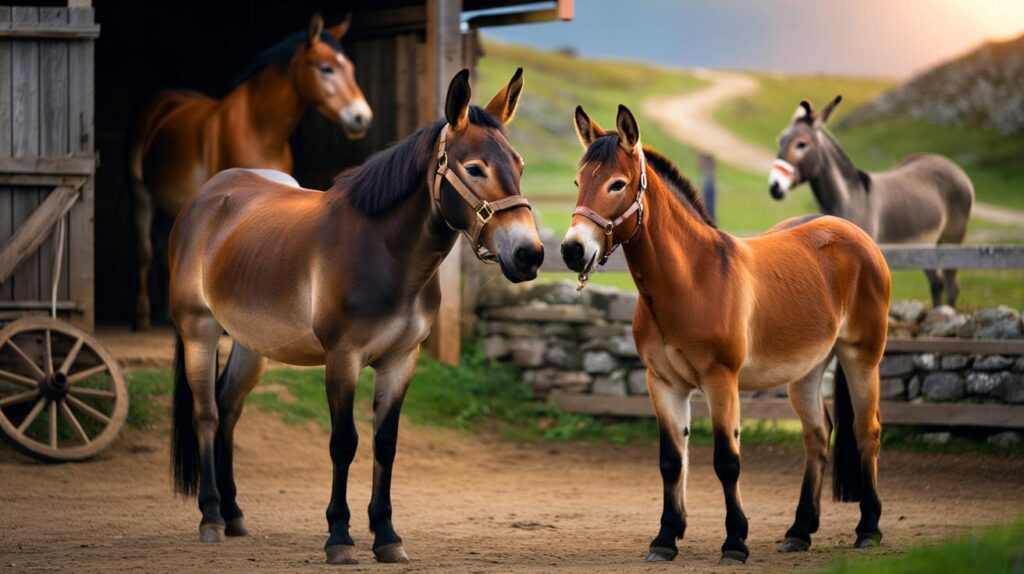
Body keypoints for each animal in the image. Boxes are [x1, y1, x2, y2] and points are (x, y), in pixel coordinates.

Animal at [130, 14, 373, 329]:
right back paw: (143, 317)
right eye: (326, 68)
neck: (257, 127)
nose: (361, 118)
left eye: (352, 69)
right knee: (145, 251)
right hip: (142, 195)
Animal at [167, 68, 542, 564]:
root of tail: (206, 197)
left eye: (518, 166)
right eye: (475, 168)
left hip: (251, 343)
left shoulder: (401, 361)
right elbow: (344, 442)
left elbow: (386, 443)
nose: (529, 254)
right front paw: (340, 537)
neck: (386, 253)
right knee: (207, 413)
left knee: (228, 408)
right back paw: (210, 516)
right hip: (200, 331)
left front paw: (386, 536)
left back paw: (233, 514)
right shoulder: (342, 359)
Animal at [561, 105, 890, 565]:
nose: (573, 250)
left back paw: (868, 529)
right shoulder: (663, 383)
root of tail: (855, 234)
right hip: (807, 370)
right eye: (579, 182)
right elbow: (671, 460)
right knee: (817, 436)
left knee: (866, 431)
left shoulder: (721, 381)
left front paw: (735, 542)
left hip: (863, 358)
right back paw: (799, 531)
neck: (691, 279)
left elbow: (726, 461)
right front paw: (665, 538)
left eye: (617, 184)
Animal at [769, 96, 973, 307]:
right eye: (780, 140)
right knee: (937, 284)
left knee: (952, 286)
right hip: (926, 247)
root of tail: (949, 163)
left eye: (801, 144)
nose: (775, 186)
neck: (851, 199)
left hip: (951, 241)